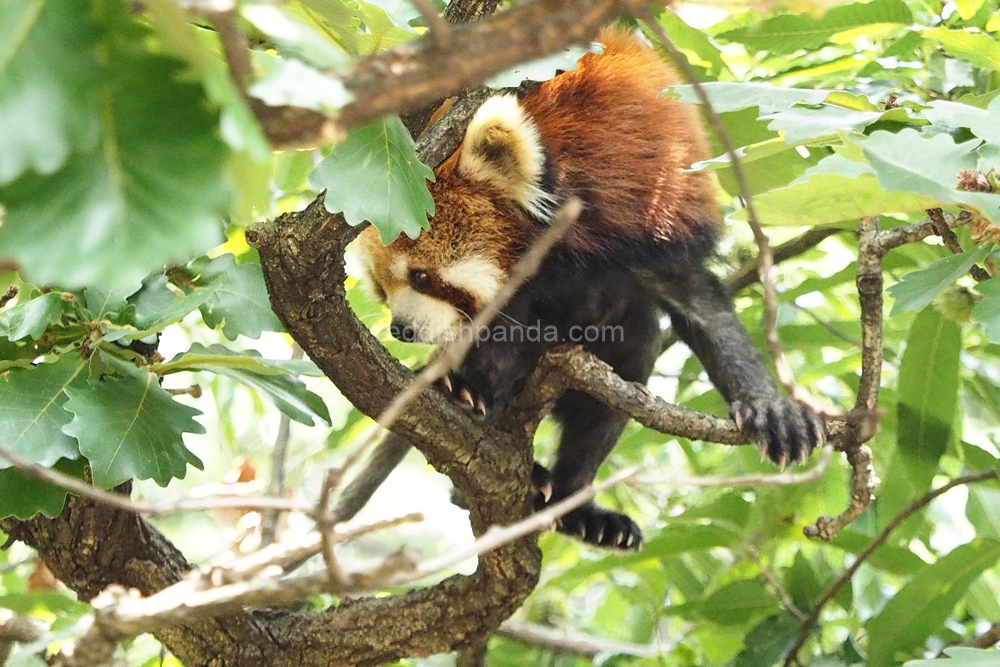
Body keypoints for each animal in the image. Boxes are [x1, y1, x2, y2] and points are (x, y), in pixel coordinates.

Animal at [356, 28, 824, 552]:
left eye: (420, 276)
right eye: (381, 288)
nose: (401, 329)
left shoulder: (647, 211)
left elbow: (701, 306)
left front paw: (769, 406)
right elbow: (504, 338)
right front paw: (471, 387)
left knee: (623, 367)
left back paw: (574, 502)